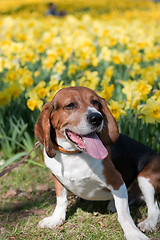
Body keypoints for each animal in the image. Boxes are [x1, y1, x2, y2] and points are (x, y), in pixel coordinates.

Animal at [34, 86, 159, 240]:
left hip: (145, 179)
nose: (97, 118)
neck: (74, 155)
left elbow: (124, 215)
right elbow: (61, 200)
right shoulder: (57, 178)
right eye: (70, 105)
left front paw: (133, 233)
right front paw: (56, 219)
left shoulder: (117, 181)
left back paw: (148, 223)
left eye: (95, 102)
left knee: (154, 207)